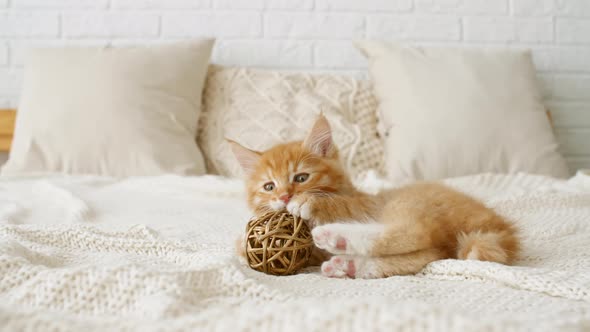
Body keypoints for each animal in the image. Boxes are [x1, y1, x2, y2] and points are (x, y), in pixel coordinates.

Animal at [229, 115, 520, 278]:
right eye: (269, 187)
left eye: (301, 178)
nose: (285, 197)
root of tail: (497, 223)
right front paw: (245, 244)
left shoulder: (365, 204)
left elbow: (339, 205)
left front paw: (309, 202)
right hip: (436, 240)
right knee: (427, 253)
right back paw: (348, 265)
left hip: (408, 203)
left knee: (414, 232)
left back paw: (336, 237)